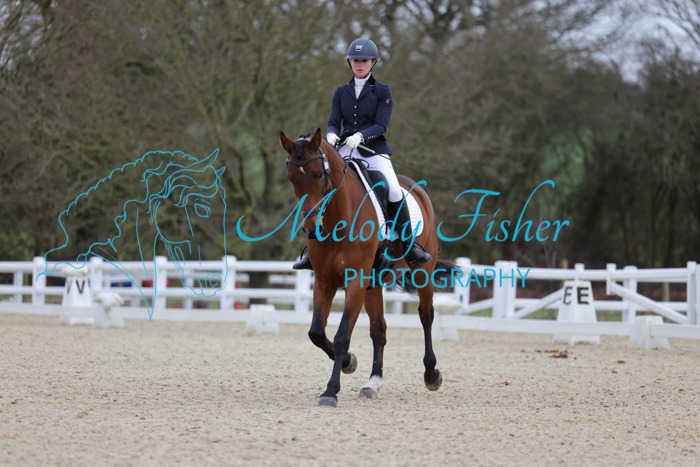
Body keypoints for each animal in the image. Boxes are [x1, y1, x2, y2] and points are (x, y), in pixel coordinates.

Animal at [280, 128, 458, 407]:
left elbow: (342, 336)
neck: (339, 218)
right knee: (379, 330)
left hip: (422, 273)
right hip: (373, 286)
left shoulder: (355, 281)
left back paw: (431, 374)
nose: (311, 228)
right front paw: (348, 363)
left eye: (319, 174)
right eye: (291, 179)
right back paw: (373, 382)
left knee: (426, 315)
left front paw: (331, 391)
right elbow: (316, 332)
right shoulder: (324, 281)